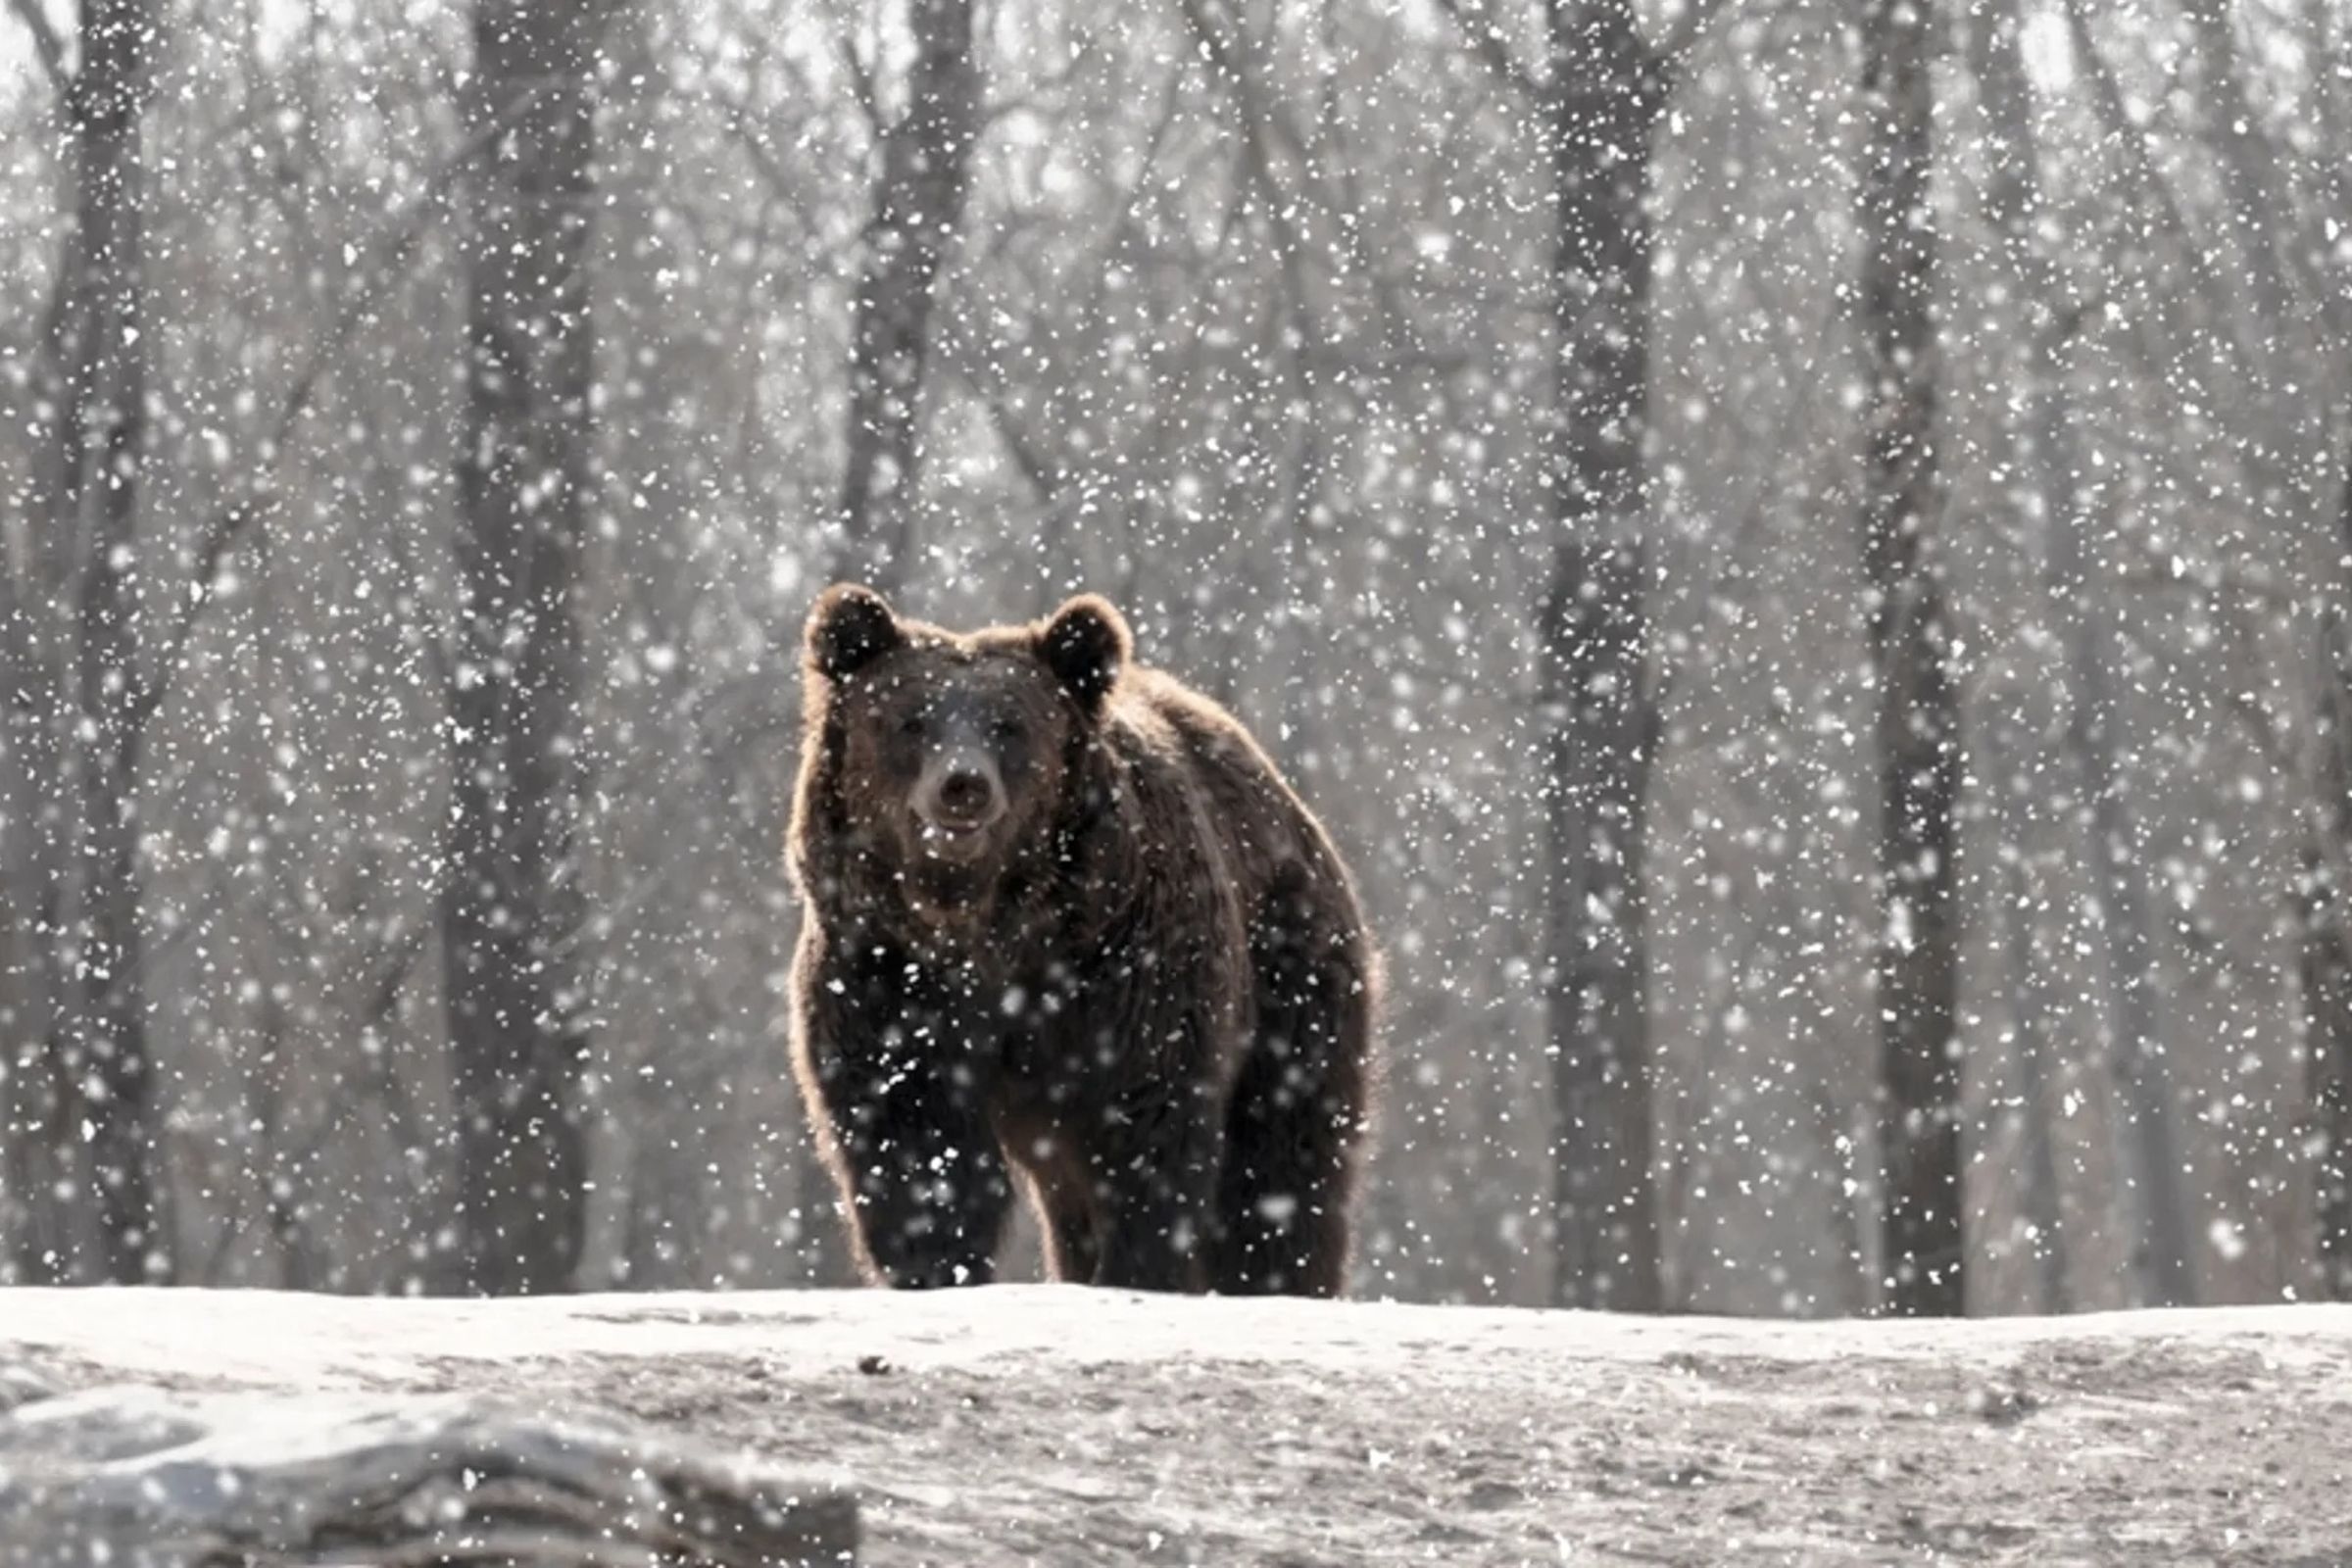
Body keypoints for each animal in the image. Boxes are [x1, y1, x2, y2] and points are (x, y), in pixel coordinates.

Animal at [786, 584, 1377, 1296]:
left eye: (1010, 725)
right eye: (910, 721)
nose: (963, 786)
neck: (989, 931)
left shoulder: (1128, 971)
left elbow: (1147, 1132)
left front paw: (1135, 1272)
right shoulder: (883, 974)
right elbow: (915, 1139)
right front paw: (938, 1269)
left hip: (1292, 975)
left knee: (1280, 1161)